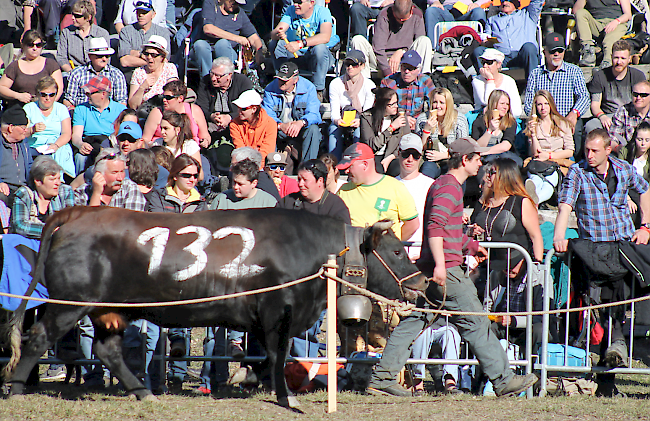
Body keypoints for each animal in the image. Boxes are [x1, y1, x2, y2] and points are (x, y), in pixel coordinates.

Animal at [3, 205, 426, 406]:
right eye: (395, 250)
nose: (423, 283)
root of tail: (77, 213)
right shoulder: (278, 314)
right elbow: (277, 355)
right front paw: (281, 394)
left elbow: (265, 357)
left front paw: (252, 380)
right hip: (68, 305)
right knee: (38, 340)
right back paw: (17, 388)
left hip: (108, 311)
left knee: (108, 351)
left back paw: (143, 391)